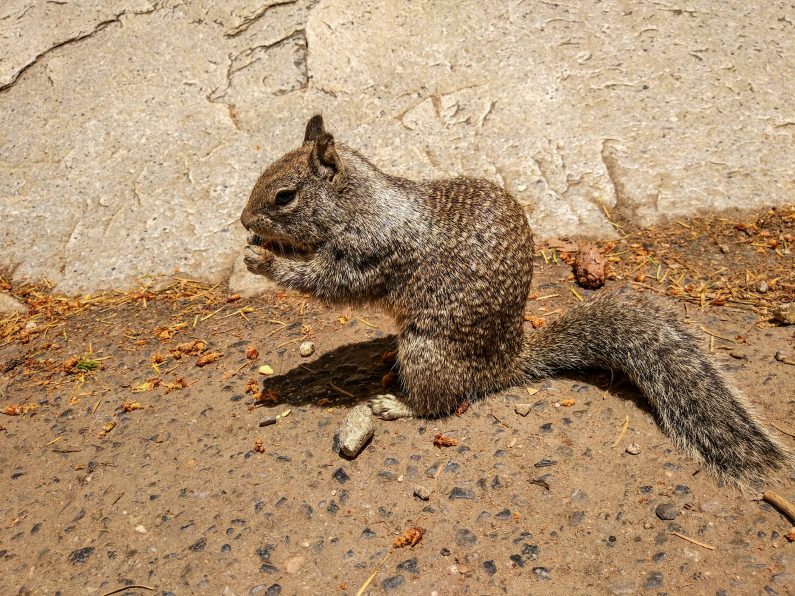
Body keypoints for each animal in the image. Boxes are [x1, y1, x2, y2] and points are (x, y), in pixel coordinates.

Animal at [240, 114, 792, 487]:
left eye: (285, 196)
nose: (244, 222)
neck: (358, 201)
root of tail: (505, 366)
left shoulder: (372, 251)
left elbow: (334, 284)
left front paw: (265, 262)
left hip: (423, 351)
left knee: (440, 403)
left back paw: (396, 403)